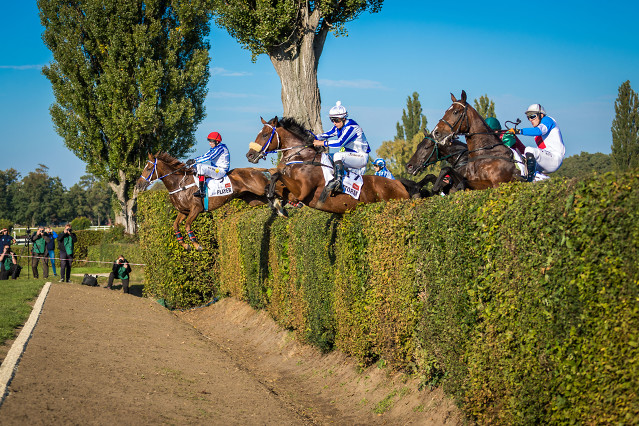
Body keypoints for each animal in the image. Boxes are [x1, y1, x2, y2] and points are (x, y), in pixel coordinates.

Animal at [138, 152, 288, 250]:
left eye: (149, 168)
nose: (139, 184)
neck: (180, 184)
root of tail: (253, 169)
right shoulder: (184, 211)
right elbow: (175, 226)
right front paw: (186, 245)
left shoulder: (196, 209)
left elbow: (187, 225)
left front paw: (197, 245)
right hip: (253, 198)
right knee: (272, 197)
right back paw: (281, 209)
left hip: (260, 188)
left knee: (278, 189)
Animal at [242, 115, 412, 213]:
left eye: (265, 135)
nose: (249, 155)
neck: (301, 157)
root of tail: (400, 184)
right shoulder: (290, 189)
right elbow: (272, 184)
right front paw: (274, 200)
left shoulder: (301, 191)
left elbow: (276, 175)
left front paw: (275, 201)